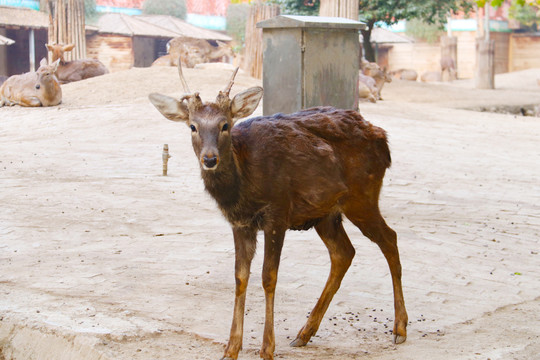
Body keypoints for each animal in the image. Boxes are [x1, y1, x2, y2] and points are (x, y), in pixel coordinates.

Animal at [146, 62, 408, 360]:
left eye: (225, 125)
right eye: (193, 126)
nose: (210, 158)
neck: (243, 187)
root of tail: (383, 139)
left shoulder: (277, 214)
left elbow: (268, 277)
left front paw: (266, 349)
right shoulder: (240, 223)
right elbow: (240, 277)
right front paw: (231, 349)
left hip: (362, 196)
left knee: (389, 238)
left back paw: (400, 328)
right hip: (326, 212)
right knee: (344, 252)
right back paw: (304, 333)